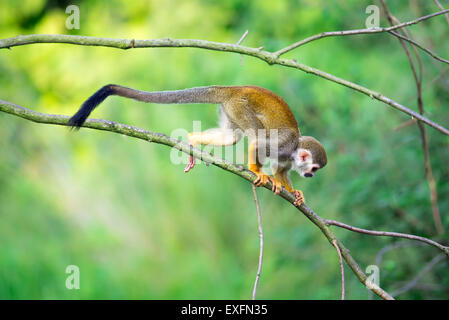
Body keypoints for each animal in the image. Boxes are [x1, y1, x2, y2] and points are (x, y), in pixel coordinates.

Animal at [68, 84, 326, 205]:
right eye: (314, 168)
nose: (311, 175)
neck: (293, 150)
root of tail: (234, 89)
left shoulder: (288, 158)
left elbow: (282, 171)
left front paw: (294, 191)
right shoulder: (284, 146)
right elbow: (260, 145)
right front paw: (259, 172)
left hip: (231, 110)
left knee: (231, 137)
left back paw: (193, 140)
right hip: (240, 106)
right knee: (254, 134)